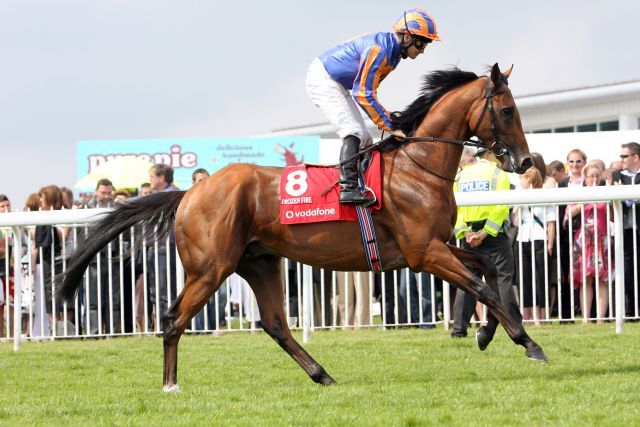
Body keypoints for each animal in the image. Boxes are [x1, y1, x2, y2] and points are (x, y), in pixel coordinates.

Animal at [60, 61, 548, 392]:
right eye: (507, 110)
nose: (525, 161)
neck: (417, 167)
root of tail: (190, 192)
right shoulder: (423, 253)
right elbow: (481, 286)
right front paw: (528, 342)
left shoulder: (437, 246)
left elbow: (487, 269)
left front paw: (486, 334)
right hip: (210, 268)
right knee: (173, 317)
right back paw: (170, 384)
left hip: (259, 262)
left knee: (276, 323)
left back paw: (321, 374)